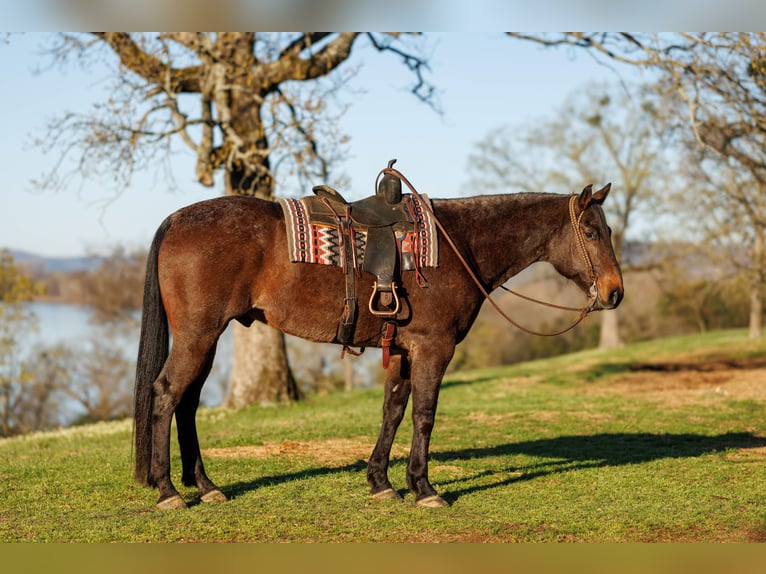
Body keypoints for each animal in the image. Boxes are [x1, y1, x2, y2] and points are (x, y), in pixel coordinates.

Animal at [133, 172, 624, 509]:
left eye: (609, 231)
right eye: (592, 232)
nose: (615, 293)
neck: (458, 244)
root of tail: (178, 218)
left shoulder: (404, 351)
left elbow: (393, 410)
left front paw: (381, 482)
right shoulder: (433, 348)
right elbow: (424, 415)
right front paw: (423, 487)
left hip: (207, 340)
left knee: (187, 405)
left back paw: (206, 486)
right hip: (198, 336)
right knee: (165, 395)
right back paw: (168, 490)